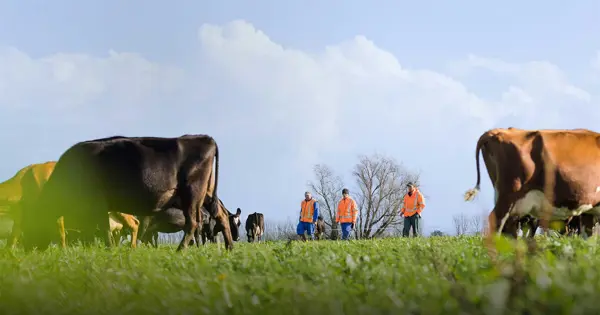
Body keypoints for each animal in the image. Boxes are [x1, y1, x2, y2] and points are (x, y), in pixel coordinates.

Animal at [19, 135, 234, 252]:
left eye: (31, 224)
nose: (28, 249)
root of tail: (204, 138)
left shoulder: (97, 203)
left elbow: (102, 229)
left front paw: (109, 249)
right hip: (204, 193)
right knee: (222, 214)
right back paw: (229, 247)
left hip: (192, 192)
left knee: (193, 223)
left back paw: (180, 250)